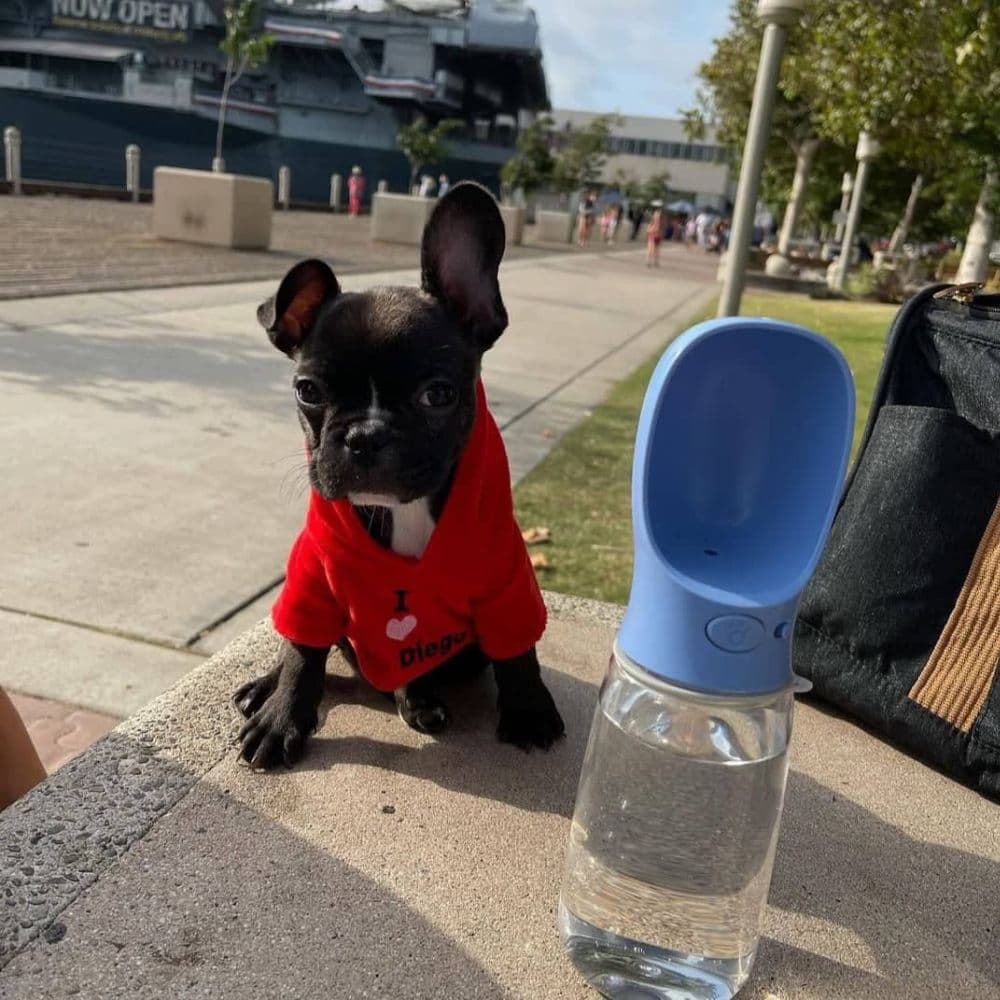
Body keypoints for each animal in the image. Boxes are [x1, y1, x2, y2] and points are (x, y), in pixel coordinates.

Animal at [230, 182, 568, 772]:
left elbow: (518, 654)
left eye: (438, 394)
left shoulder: (508, 587)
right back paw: (265, 689)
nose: (366, 435)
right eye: (307, 391)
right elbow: (301, 654)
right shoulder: (311, 584)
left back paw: (418, 698)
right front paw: (281, 718)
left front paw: (528, 711)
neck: (403, 510)